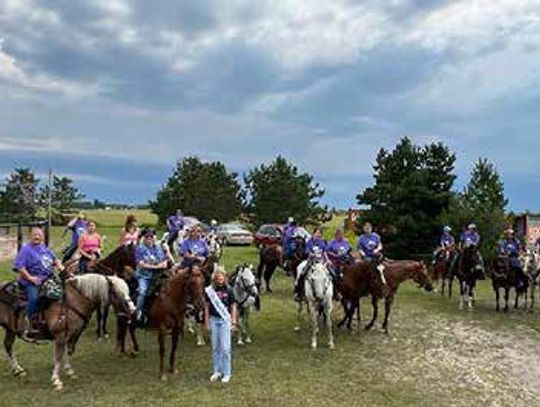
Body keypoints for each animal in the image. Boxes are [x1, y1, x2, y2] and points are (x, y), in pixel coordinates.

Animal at [0, 274, 134, 392]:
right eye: (117, 292)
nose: (133, 310)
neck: (74, 302)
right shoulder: (60, 336)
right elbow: (58, 356)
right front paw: (56, 380)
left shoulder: (72, 335)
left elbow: (68, 352)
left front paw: (69, 371)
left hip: (10, 330)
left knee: (8, 346)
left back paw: (18, 370)